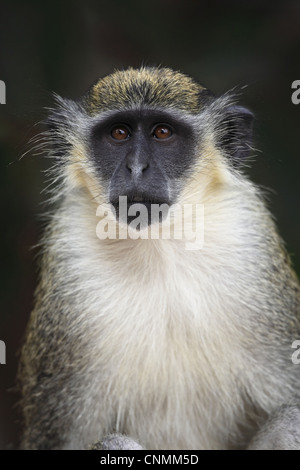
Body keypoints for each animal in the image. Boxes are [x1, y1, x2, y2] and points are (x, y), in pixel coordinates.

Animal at [18, 64, 300, 450]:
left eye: (163, 132)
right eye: (119, 133)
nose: (137, 167)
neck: (159, 245)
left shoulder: (250, 240)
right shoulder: (68, 260)